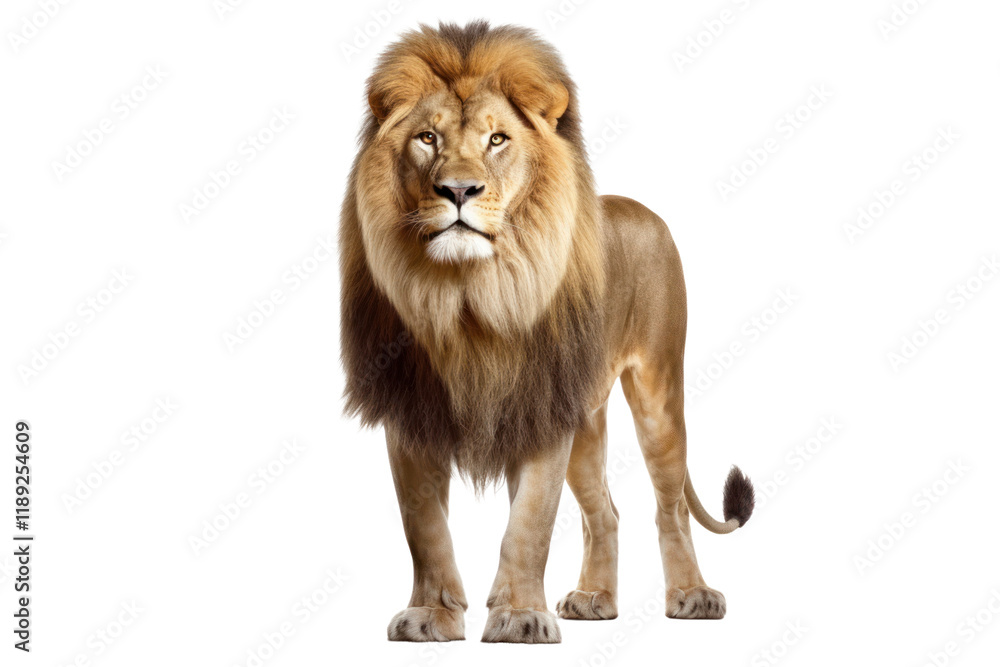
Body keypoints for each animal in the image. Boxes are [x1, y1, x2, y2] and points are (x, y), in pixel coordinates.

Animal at [339, 21, 755, 644]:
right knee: (604, 511)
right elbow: (425, 528)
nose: (457, 191)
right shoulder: (411, 413)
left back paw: (693, 596)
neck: (468, 294)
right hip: (584, 418)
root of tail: (641, 208)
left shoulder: (539, 410)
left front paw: (519, 617)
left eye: (497, 140)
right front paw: (431, 616)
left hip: (657, 389)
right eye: (428, 138)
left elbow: (529, 524)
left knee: (671, 504)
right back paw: (595, 600)